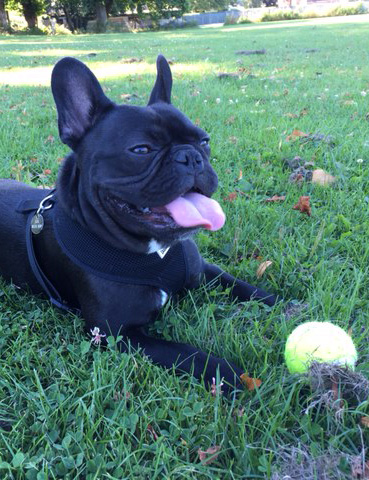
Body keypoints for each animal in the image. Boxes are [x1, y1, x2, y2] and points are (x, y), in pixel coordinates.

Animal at [0, 56, 276, 394]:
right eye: (141, 150)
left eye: (204, 141)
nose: (191, 156)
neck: (154, 252)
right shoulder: (118, 333)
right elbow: (186, 353)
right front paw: (230, 375)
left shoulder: (204, 272)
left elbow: (245, 287)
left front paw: (288, 304)